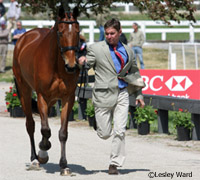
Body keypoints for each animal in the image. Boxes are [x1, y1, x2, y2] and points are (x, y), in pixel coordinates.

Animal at [11, 6, 79, 174]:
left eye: (77, 32)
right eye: (60, 32)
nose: (71, 66)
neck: (57, 65)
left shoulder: (68, 98)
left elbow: (62, 133)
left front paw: (64, 165)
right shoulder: (41, 95)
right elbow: (45, 129)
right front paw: (43, 151)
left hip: (52, 99)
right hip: (24, 90)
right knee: (31, 125)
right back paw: (35, 158)